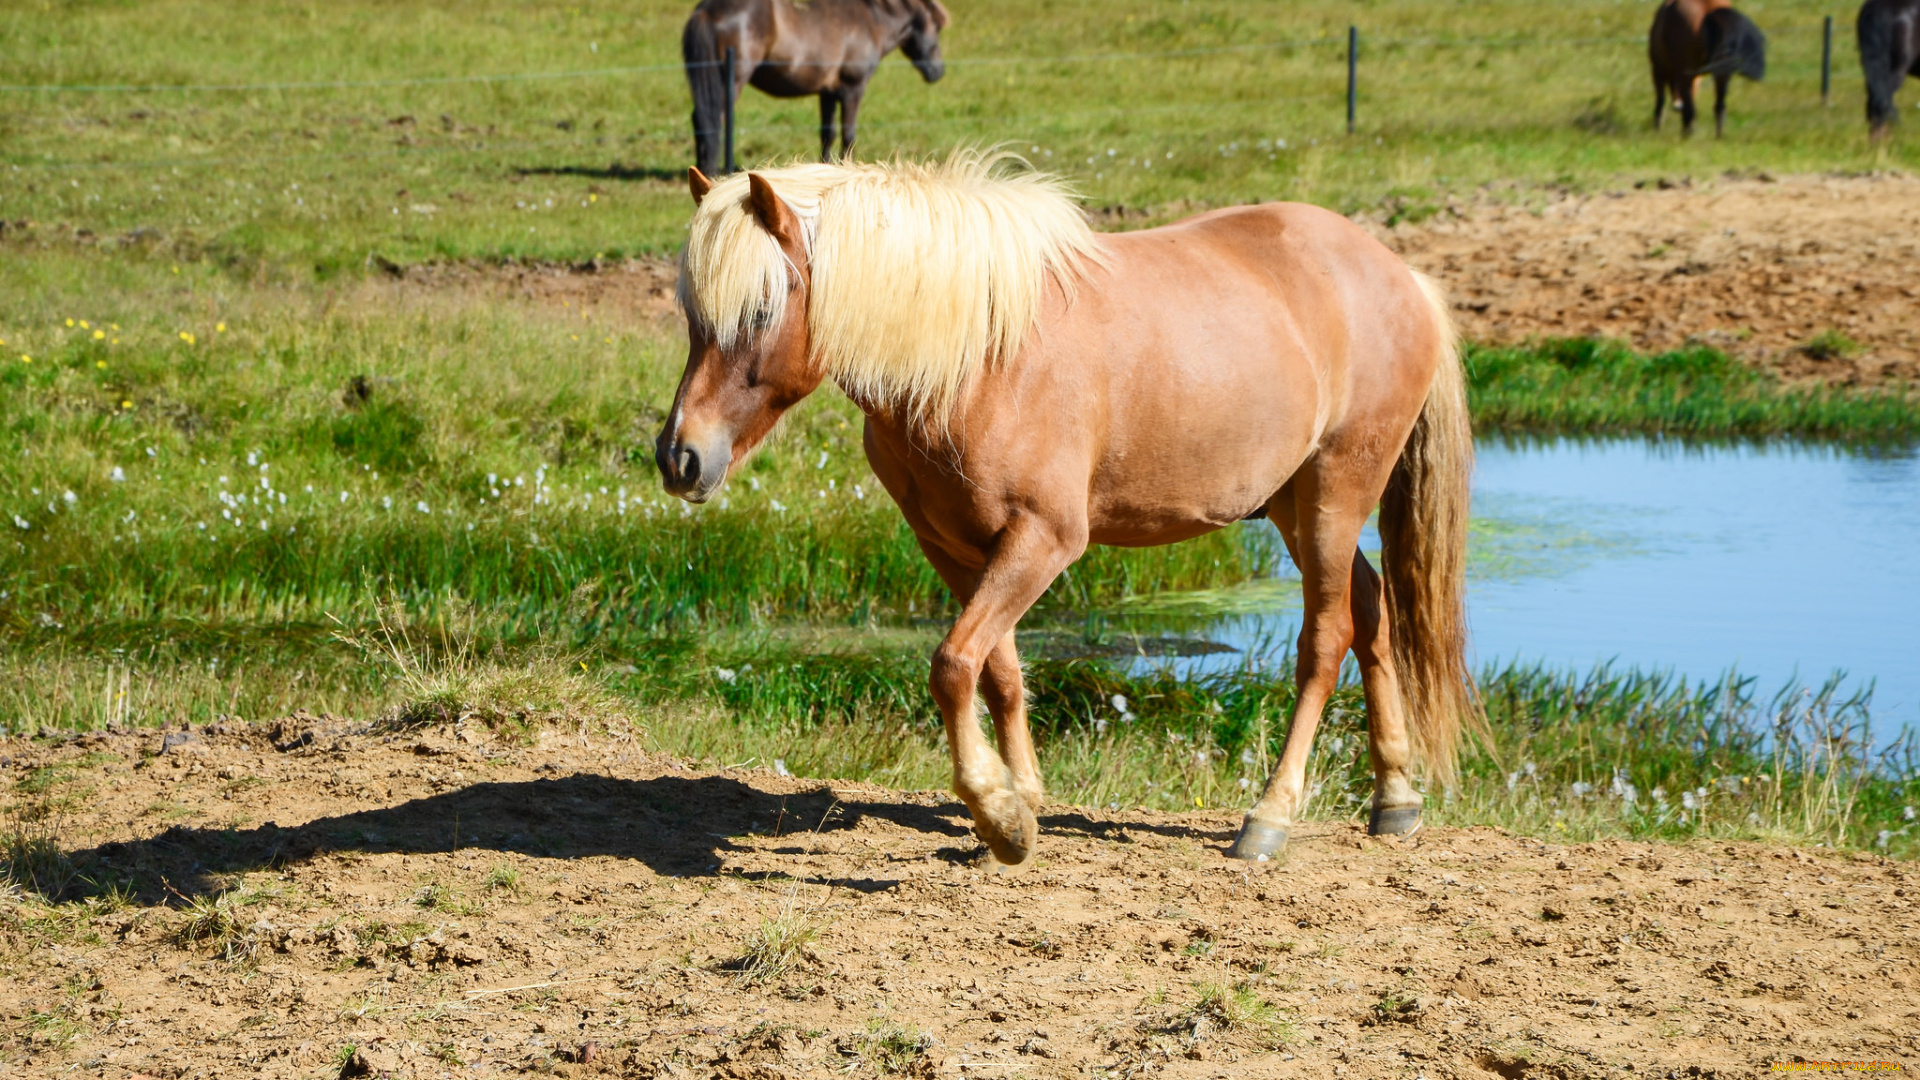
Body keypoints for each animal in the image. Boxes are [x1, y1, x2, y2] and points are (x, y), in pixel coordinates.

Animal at [652, 151, 1474, 860]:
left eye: (761, 311)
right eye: (691, 314)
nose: (680, 456)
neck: (979, 358)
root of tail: (1401, 274)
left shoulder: (1043, 541)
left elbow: (953, 664)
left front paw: (998, 815)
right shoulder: (952, 545)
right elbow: (999, 672)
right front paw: (1022, 799)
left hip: (1337, 492)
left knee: (1326, 639)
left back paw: (1269, 818)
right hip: (1292, 504)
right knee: (1370, 607)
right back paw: (1395, 800)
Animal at [683, 0, 952, 174]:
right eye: (937, 27)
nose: (938, 72)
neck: (870, 20)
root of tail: (706, 10)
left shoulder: (828, 92)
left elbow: (827, 134)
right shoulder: (852, 89)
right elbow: (848, 135)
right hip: (731, 83)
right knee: (712, 121)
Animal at [1651, 0, 1766, 137]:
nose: (1677, 106)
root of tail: (1708, 9)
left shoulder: (1658, 69)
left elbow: (1660, 102)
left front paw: (1657, 129)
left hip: (1683, 72)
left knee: (1690, 110)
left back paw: (1686, 136)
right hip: (1722, 72)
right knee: (1719, 107)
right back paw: (1718, 136)